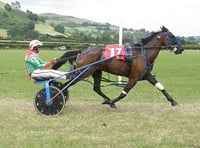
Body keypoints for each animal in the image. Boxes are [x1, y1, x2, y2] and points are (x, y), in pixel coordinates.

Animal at [52, 26, 184, 108]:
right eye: (172, 36)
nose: (181, 49)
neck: (143, 54)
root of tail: (84, 50)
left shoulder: (146, 75)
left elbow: (160, 86)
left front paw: (173, 101)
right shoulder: (134, 77)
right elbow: (124, 93)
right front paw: (111, 102)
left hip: (96, 71)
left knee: (96, 88)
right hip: (84, 72)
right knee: (66, 84)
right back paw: (55, 97)